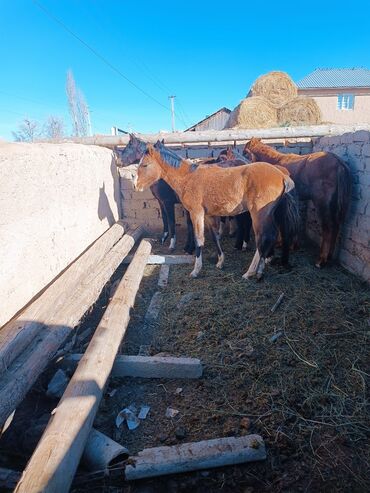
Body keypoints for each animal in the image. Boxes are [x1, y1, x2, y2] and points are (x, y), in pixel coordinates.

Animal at [134, 144, 300, 278]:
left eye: (145, 165)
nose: (136, 186)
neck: (188, 178)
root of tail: (282, 175)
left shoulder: (196, 213)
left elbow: (199, 240)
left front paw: (196, 270)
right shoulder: (208, 215)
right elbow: (214, 236)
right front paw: (220, 261)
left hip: (258, 215)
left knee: (262, 238)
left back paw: (250, 272)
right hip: (270, 214)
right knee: (272, 235)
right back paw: (261, 268)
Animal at [244, 136, 352, 268]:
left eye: (245, 152)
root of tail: (339, 163)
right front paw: (291, 244)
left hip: (323, 204)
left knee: (328, 228)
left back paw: (321, 260)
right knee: (336, 227)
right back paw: (329, 257)